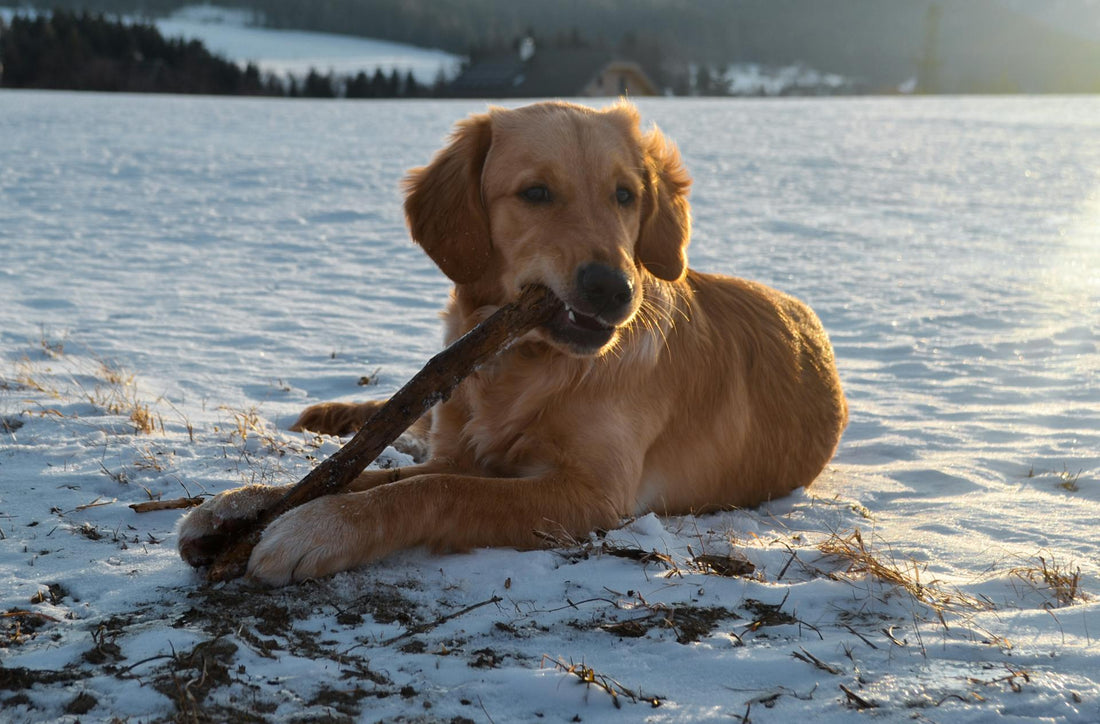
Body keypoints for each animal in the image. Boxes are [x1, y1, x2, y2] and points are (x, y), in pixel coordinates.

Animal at [178, 98, 849, 585]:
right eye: (535, 193)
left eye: (626, 194)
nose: (613, 288)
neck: (521, 364)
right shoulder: (461, 451)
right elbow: (382, 478)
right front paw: (238, 506)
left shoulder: (594, 493)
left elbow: (433, 490)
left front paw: (316, 528)